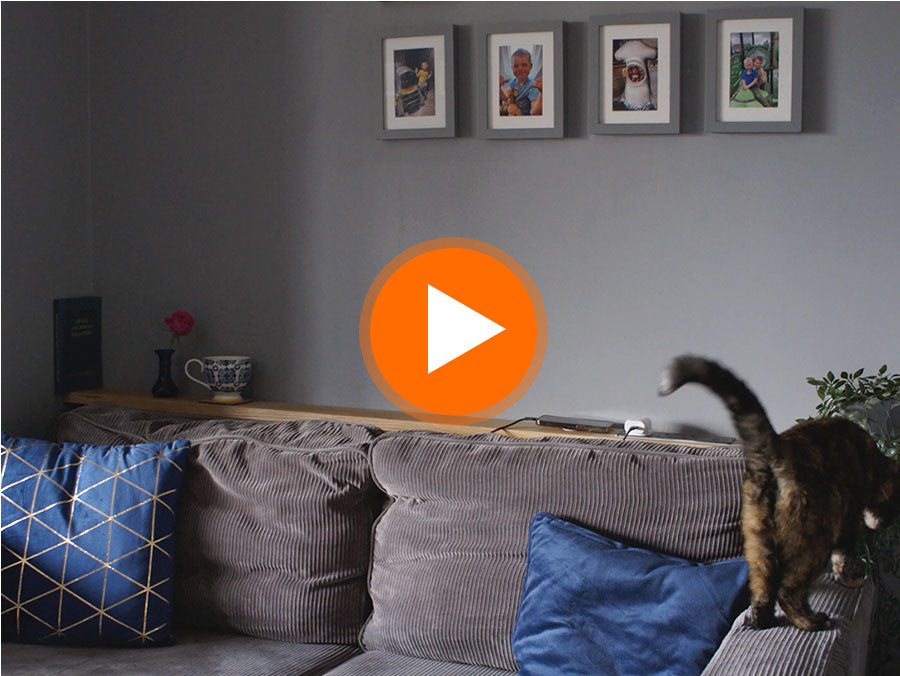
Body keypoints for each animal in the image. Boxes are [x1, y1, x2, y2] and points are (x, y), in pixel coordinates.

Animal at [658, 355, 900, 631]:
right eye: (895, 505)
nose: (883, 524)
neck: (875, 462)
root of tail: (780, 446)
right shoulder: (849, 521)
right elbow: (844, 559)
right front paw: (852, 581)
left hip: (757, 533)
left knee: (763, 589)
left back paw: (763, 621)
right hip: (815, 536)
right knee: (788, 590)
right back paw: (812, 621)